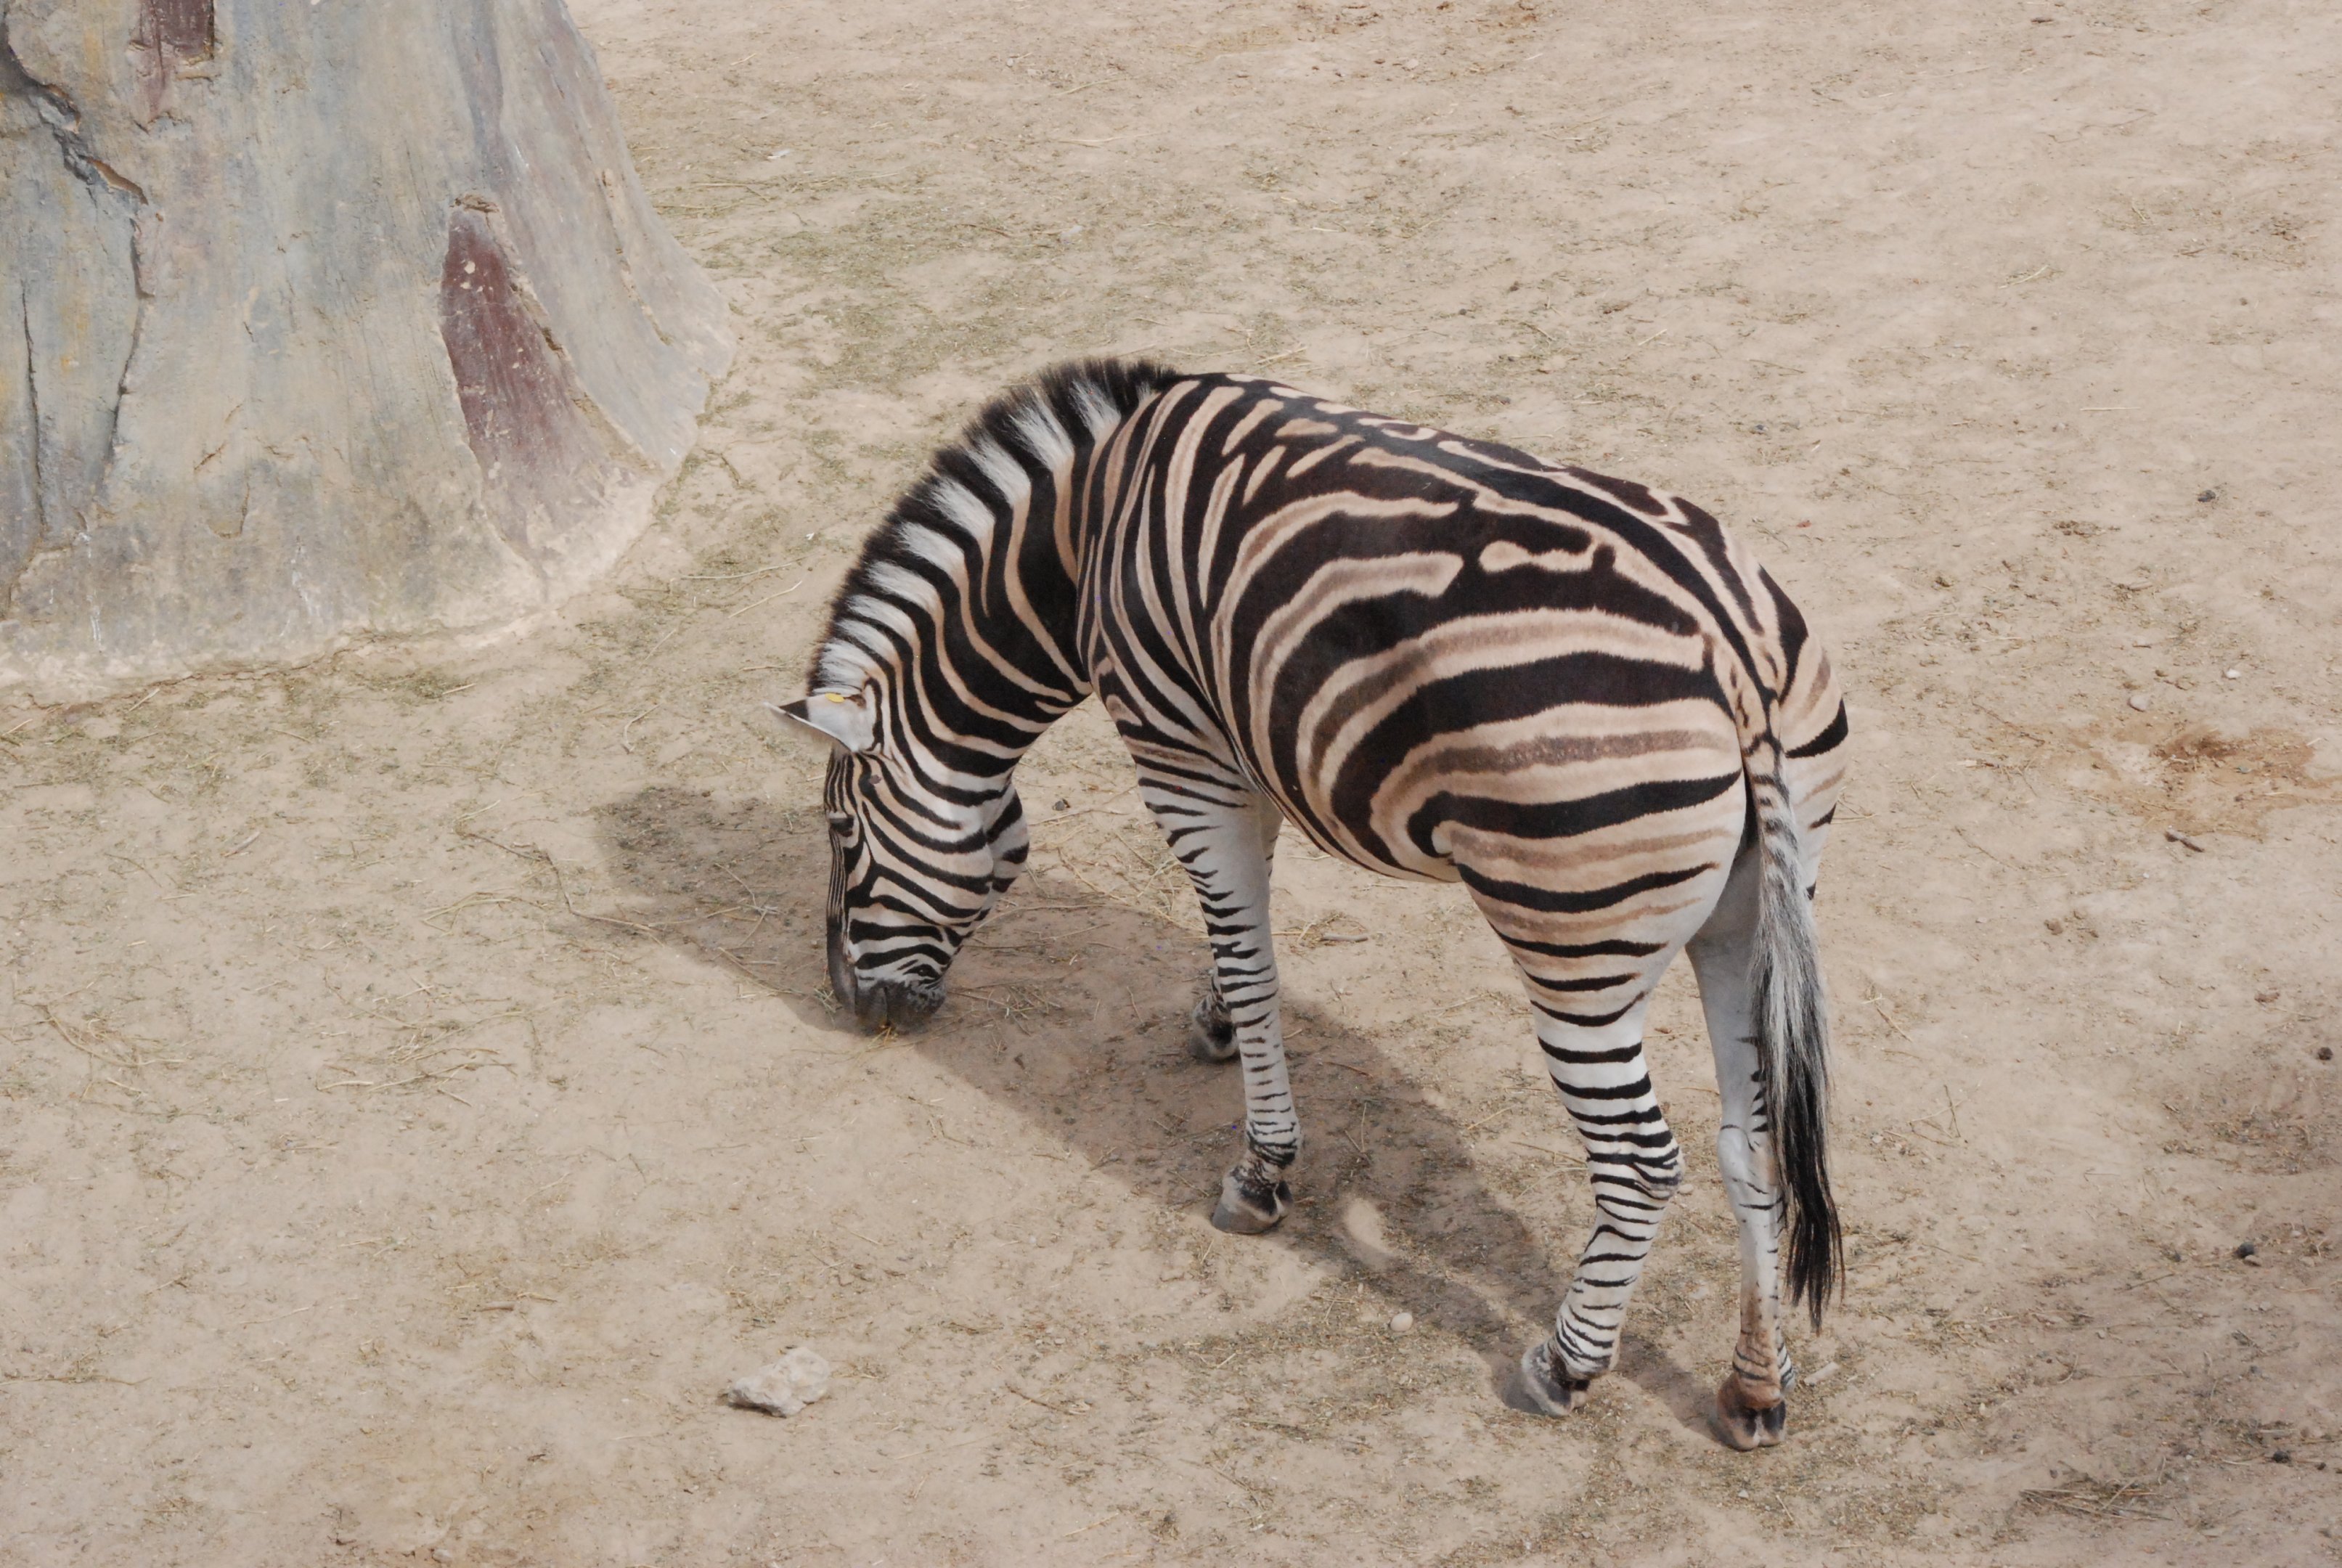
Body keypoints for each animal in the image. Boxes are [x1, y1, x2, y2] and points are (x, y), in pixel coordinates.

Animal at [772, 359, 1849, 1448]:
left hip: (1575, 949)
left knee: (1640, 1163)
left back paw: (1565, 1365)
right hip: (1752, 914)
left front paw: (1261, 1169)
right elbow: (1235, 933)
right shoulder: (1243, 747)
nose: (848, 1004)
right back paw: (1755, 1386)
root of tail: (1730, 648)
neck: (1085, 534)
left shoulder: (1179, 756)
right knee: (1754, 1140)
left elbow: (1252, 964)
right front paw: (1209, 1019)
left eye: (841, 834)